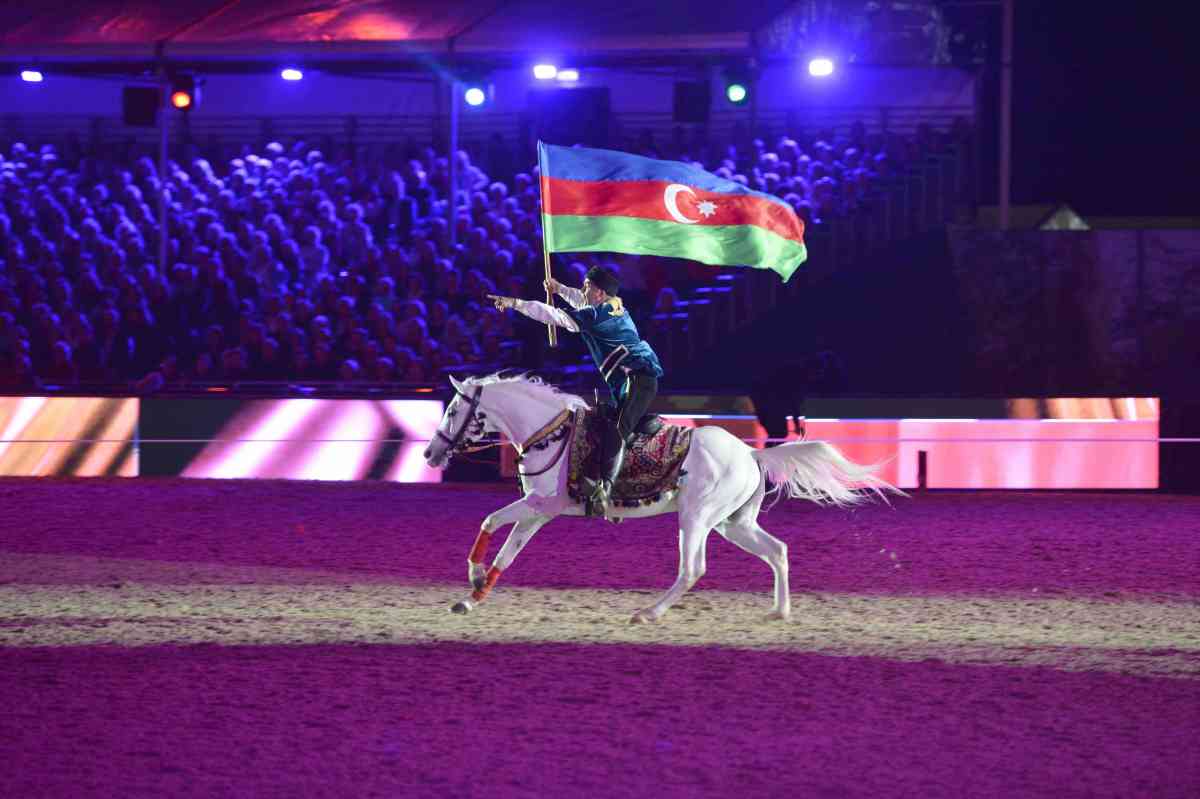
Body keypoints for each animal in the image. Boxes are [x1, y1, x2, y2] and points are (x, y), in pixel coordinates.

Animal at [424, 374, 902, 623]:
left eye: (454, 410)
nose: (430, 454)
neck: (551, 432)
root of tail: (750, 452)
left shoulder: (542, 506)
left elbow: (490, 522)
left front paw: (473, 578)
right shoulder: (539, 512)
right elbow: (507, 552)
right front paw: (473, 595)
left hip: (696, 519)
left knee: (693, 568)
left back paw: (649, 613)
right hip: (733, 523)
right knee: (778, 551)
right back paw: (779, 612)